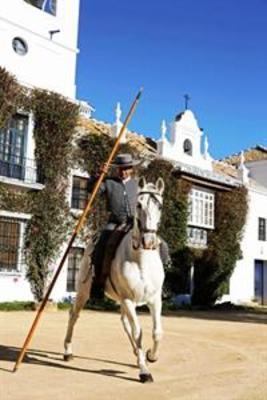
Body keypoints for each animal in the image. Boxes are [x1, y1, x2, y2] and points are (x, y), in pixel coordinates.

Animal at [64, 177, 165, 382]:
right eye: (139, 204)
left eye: (159, 205)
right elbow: (138, 331)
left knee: (125, 323)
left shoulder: (154, 299)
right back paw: (68, 351)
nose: (149, 241)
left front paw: (151, 356)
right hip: (84, 292)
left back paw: (137, 354)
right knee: (74, 315)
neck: (140, 259)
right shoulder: (128, 299)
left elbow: (157, 332)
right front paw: (144, 370)